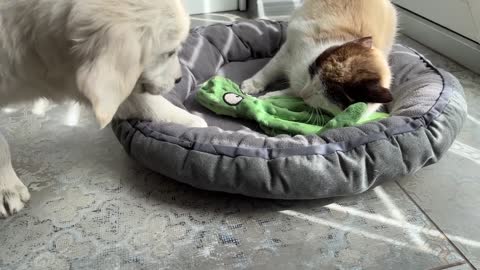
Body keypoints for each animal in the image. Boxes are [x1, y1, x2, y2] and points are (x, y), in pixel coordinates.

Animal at [244, 0, 398, 115]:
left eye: (332, 95)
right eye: (314, 71)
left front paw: (271, 97)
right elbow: (269, 70)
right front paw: (252, 86)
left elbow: (292, 92)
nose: (305, 93)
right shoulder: (288, 51)